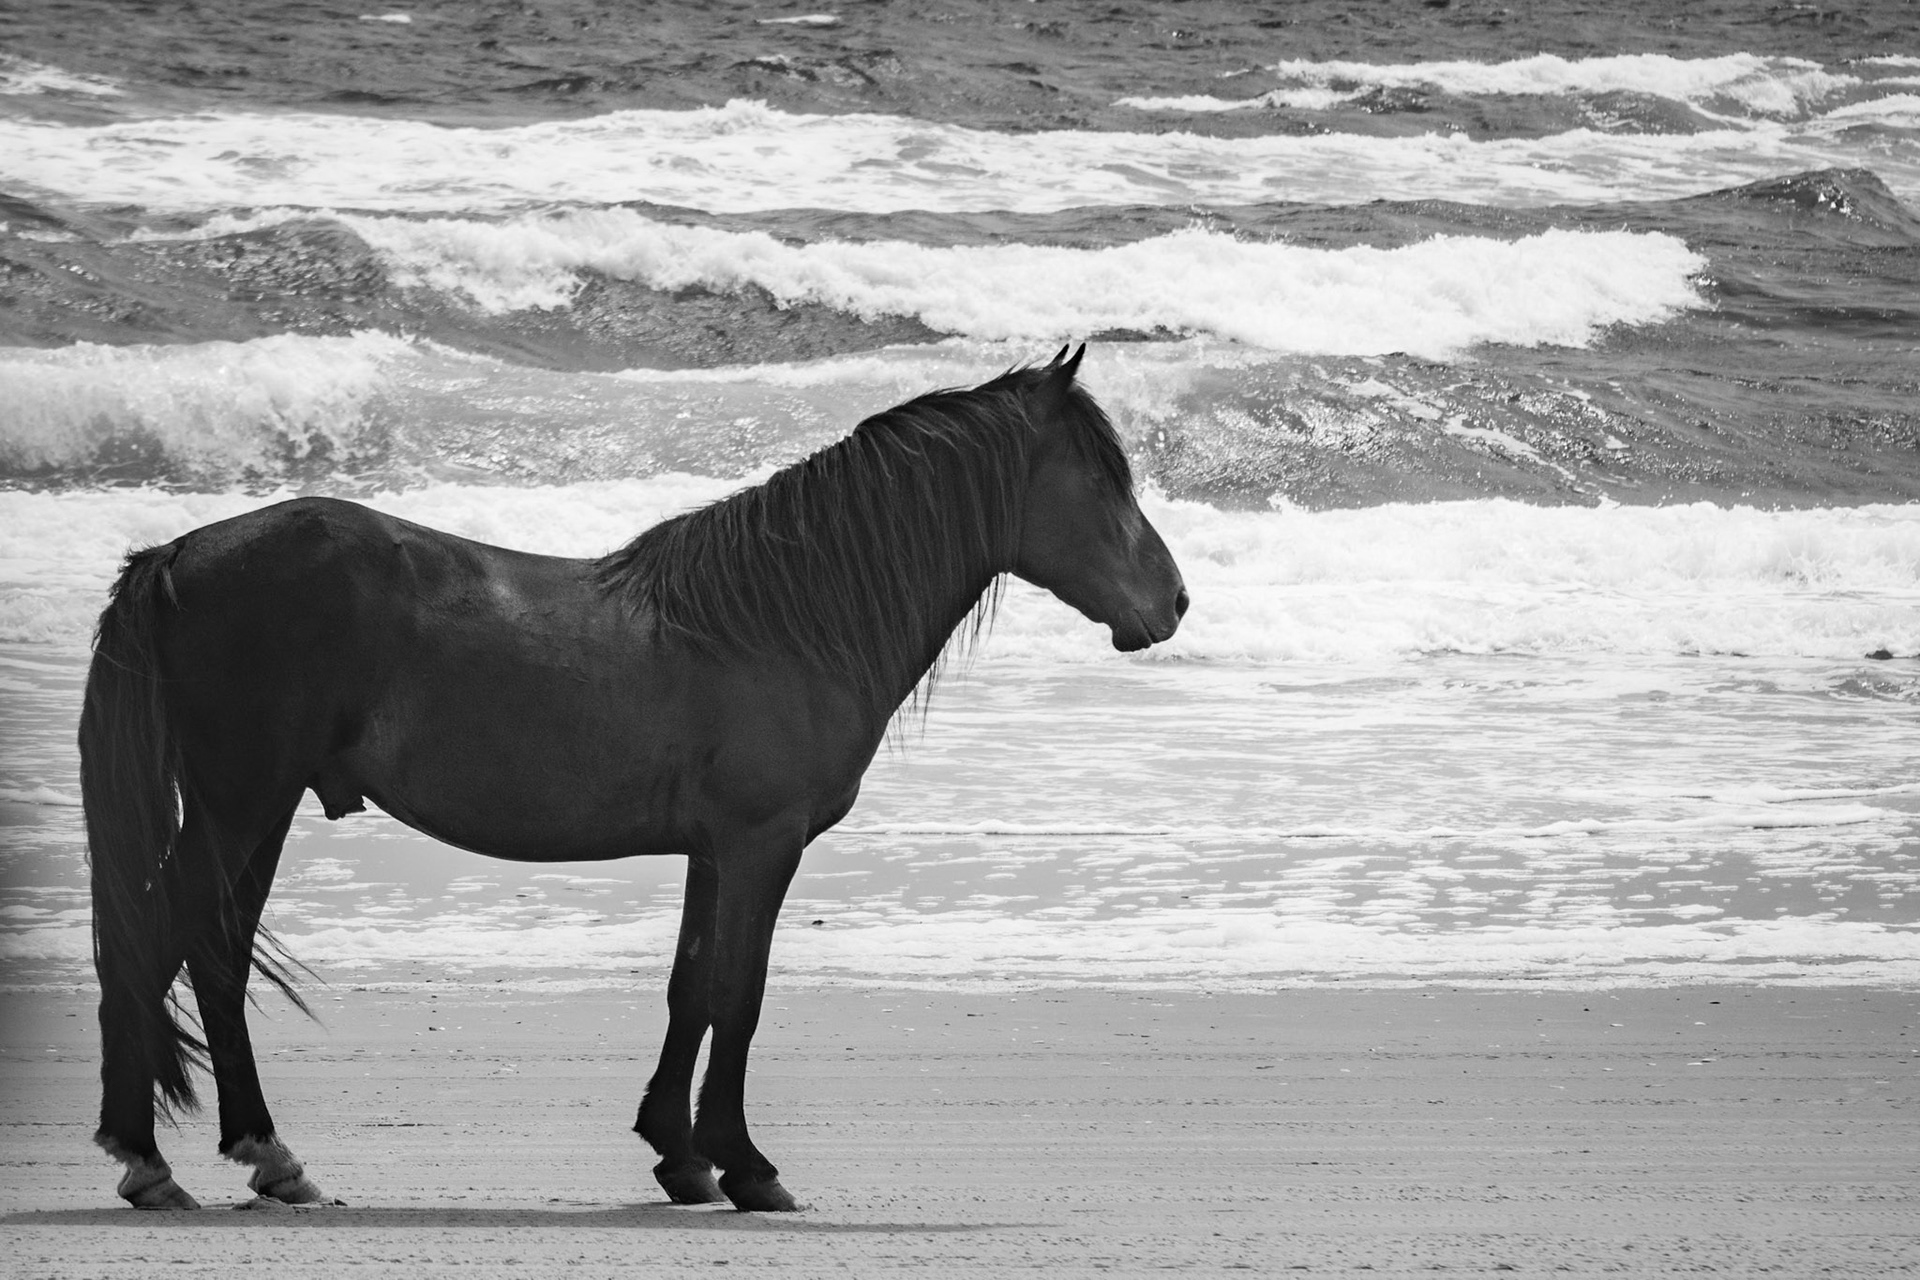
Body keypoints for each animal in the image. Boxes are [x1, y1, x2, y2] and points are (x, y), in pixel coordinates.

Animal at [80, 344, 1187, 1213]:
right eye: (1104, 481)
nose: (1173, 601)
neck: (783, 617)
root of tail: (179, 552)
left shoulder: (714, 850)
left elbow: (690, 985)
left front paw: (680, 1155)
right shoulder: (761, 843)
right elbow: (740, 990)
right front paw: (746, 1164)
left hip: (255, 809)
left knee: (213, 955)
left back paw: (266, 1156)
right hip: (240, 802)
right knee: (162, 941)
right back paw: (147, 1159)